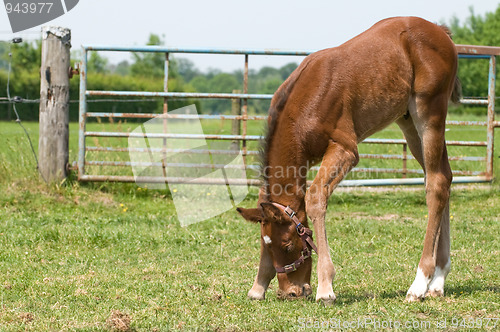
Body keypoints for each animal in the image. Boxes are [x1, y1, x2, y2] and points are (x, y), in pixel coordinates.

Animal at [238, 16, 460, 304]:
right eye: (268, 246)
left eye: (287, 245)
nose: (291, 292)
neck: (302, 107)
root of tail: (441, 32)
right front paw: (258, 286)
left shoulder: (345, 149)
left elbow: (315, 197)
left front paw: (325, 288)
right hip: (409, 123)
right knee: (443, 178)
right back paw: (438, 281)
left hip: (429, 112)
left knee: (435, 184)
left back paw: (420, 284)